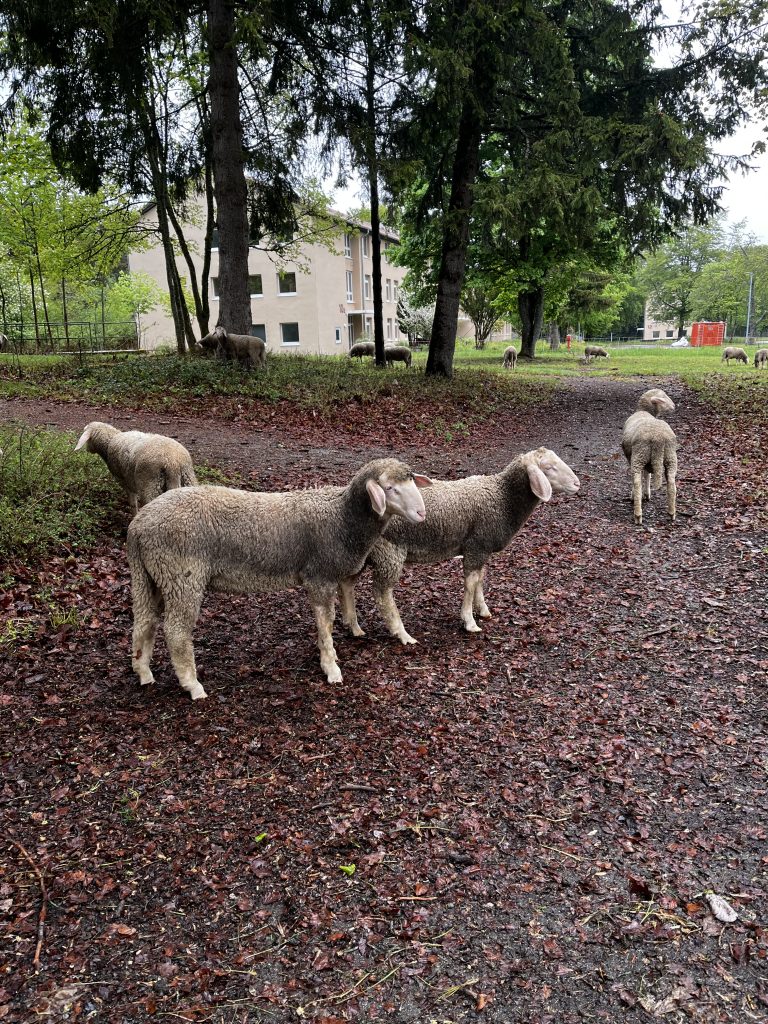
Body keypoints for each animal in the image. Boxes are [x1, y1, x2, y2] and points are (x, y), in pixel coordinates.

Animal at [127, 458, 432, 699]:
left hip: (151, 575)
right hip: (182, 576)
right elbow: (325, 623)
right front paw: (331, 667)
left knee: (144, 622)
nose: (421, 513)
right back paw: (192, 685)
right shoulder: (319, 576)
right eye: (389, 488)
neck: (342, 519)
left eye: (411, 482)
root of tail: (138, 526)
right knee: (176, 631)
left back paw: (143, 673)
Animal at [338, 448, 580, 645]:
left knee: (347, 583)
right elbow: (471, 583)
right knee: (381, 593)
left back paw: (353, 626)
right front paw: (469, 621)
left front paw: (483, 610)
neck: (503, 498)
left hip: (362, 553)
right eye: (548, 468)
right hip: (389, 552)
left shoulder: (481, 547)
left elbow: (480, 578)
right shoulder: (477, 546)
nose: (577, 483)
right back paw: (401, 634)